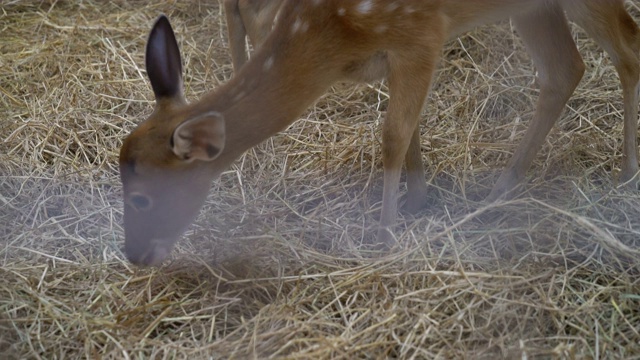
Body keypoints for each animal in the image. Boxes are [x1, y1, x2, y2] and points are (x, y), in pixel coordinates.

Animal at [119, 0, 636, 264]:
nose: (134, 256)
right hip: (534, 9)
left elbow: (391, 136)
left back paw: (626, 176)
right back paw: (500, 190)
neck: (331, 35)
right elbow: (409, 127)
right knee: (565, 68)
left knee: (626, 46)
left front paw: (385, 238)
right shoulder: (398, 56)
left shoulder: (422, 33)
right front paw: (416, 200)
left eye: (141, 197)